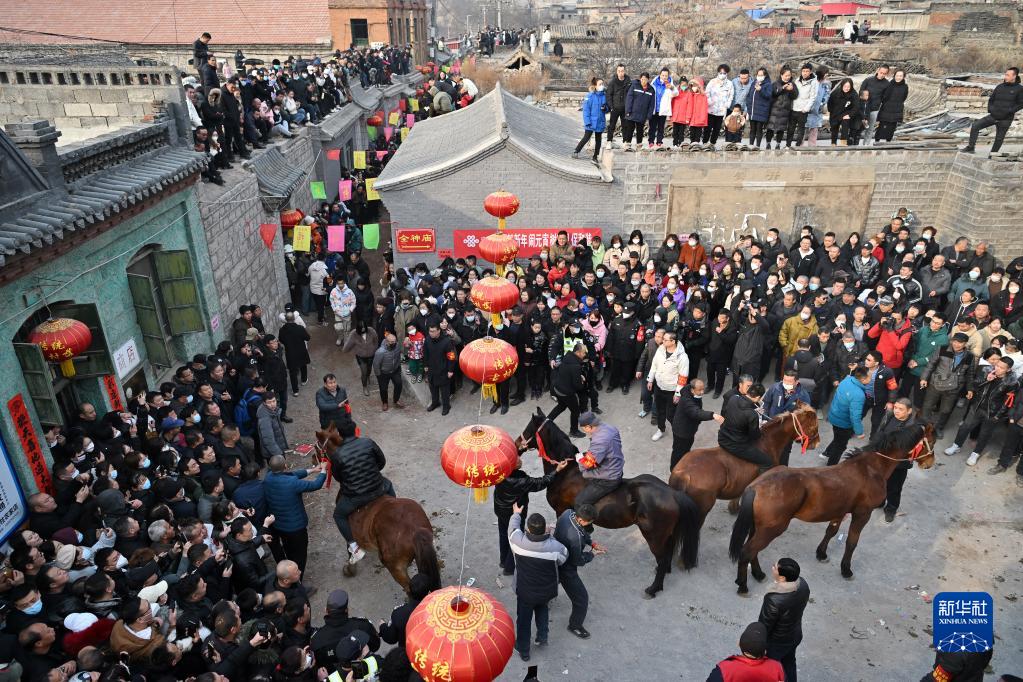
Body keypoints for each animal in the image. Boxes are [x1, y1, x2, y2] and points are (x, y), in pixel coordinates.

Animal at [313, 427, 437, 593]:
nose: (314, 461)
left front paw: (350, 567)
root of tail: (415, 529)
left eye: (317, 447)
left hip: (396, 567)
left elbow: (349, 548)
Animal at [519, 411, 703, 597]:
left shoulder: (560, 511)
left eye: (528, 429)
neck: (566, 472)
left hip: (654, 536)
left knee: (663, 558)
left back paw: (653, 588)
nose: (517, 445)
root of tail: (672, 492)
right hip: (667, 534)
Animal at [728, 421, 937, 593]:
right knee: (747, 551)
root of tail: (757, 486)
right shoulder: (863, 514)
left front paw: (821, 553)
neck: (871, 468)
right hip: (771, 529)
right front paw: (846, 569)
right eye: (932, 441)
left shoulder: (840, 511)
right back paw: (743, 585)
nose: (930, 463)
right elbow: (851, 542)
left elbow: (831, 531)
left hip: (759, 526)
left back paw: (758, 574)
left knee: (752, 550)